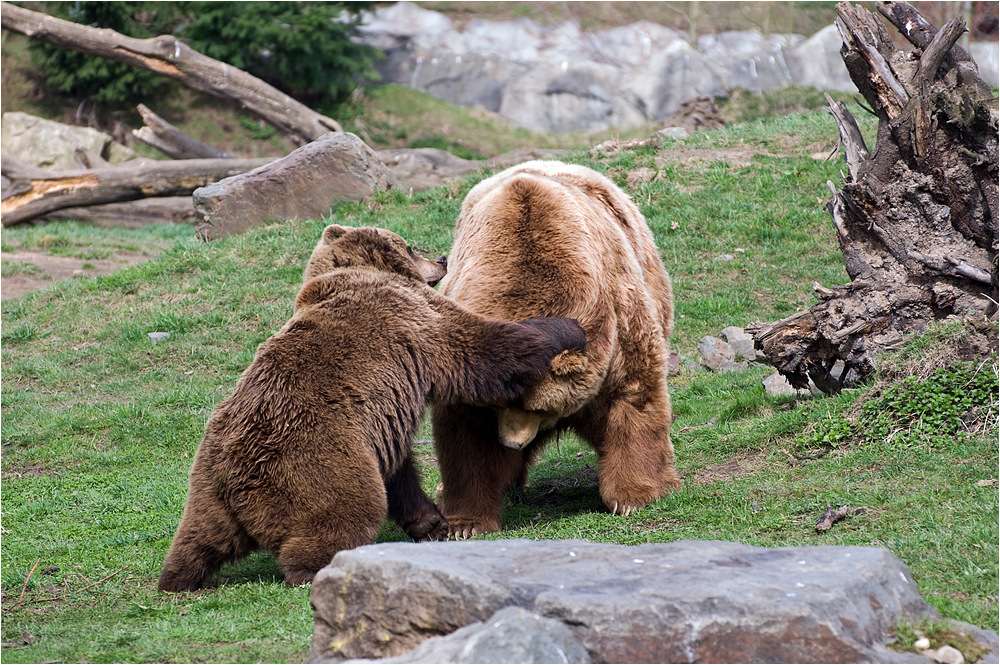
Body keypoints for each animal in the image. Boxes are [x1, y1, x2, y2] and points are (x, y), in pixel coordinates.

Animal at [156, 226, 584, 588]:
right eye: (410, 245)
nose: (442, 257)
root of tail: (239, 480)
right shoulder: (414, 320)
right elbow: (484, 349)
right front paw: (566, 328)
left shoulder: (382, 427)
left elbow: (401, 472)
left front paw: (433, 523)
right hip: (320, 462)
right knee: (345, 512)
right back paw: (316, 567)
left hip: (207, 486)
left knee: (198, 537)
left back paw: (177, 579)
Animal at [430, 162, 680, 540]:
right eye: (496, 404)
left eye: (539, 408)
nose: (511, 443)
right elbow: (465, 432)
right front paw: (465, 522)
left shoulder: (616, 315)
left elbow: (633, 393)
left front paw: (635, 496)